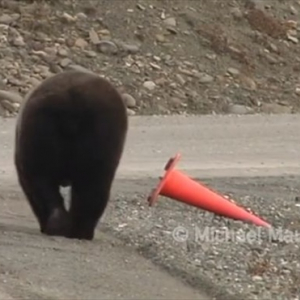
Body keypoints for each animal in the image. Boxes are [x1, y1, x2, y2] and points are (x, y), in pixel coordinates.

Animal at [13, 69, 127, 240]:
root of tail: (72, 102)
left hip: (41, 128)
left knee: (39, 180)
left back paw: (63, 227)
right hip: (100, 130)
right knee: (92, 184)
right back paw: (77, 229)